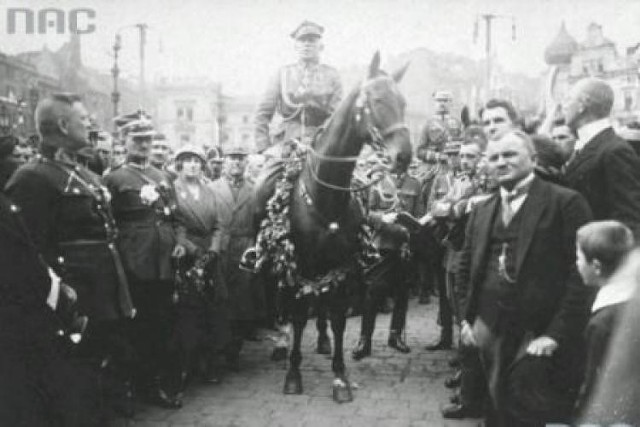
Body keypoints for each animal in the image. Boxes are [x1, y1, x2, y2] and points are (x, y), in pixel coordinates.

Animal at [282, 51, 412, 402]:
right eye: (377, 100)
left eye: (403, 102)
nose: (405, 156)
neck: (325, 196)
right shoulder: (301, 262)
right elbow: (298, 316)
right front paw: (293, 374)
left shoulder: (340, 264)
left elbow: (339, 318)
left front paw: (340, 376)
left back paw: (324, 342)